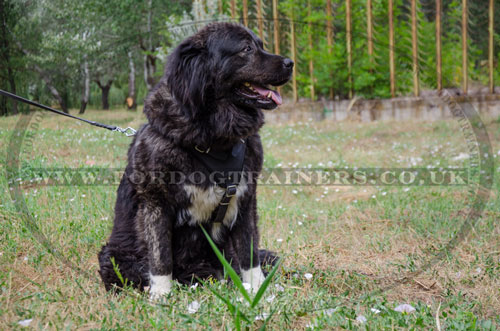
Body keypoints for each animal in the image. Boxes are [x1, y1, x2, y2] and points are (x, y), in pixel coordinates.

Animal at [98, 22, 292, 300]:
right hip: (114, 256)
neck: (214, 139)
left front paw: (257, 291)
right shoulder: (156, 204)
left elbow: (249, 253)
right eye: (246, 49)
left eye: (261, 45)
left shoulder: (245, 199)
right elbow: (160, 256)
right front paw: (161, 296)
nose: (290, 63)